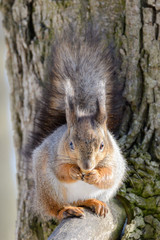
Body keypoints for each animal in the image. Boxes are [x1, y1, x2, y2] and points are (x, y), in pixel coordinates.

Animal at [30, 28, 127, 221]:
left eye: (102, 145)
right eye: (71, 144)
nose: (86, 167)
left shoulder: (114, 160)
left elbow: (109, 175)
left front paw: (95, 175)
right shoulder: (55, 154)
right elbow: (61, 170)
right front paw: (73, 172)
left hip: (102, 193)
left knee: (81, 200)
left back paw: (94, 203)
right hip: (48, 188)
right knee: (54, 209)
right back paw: (66, 210)